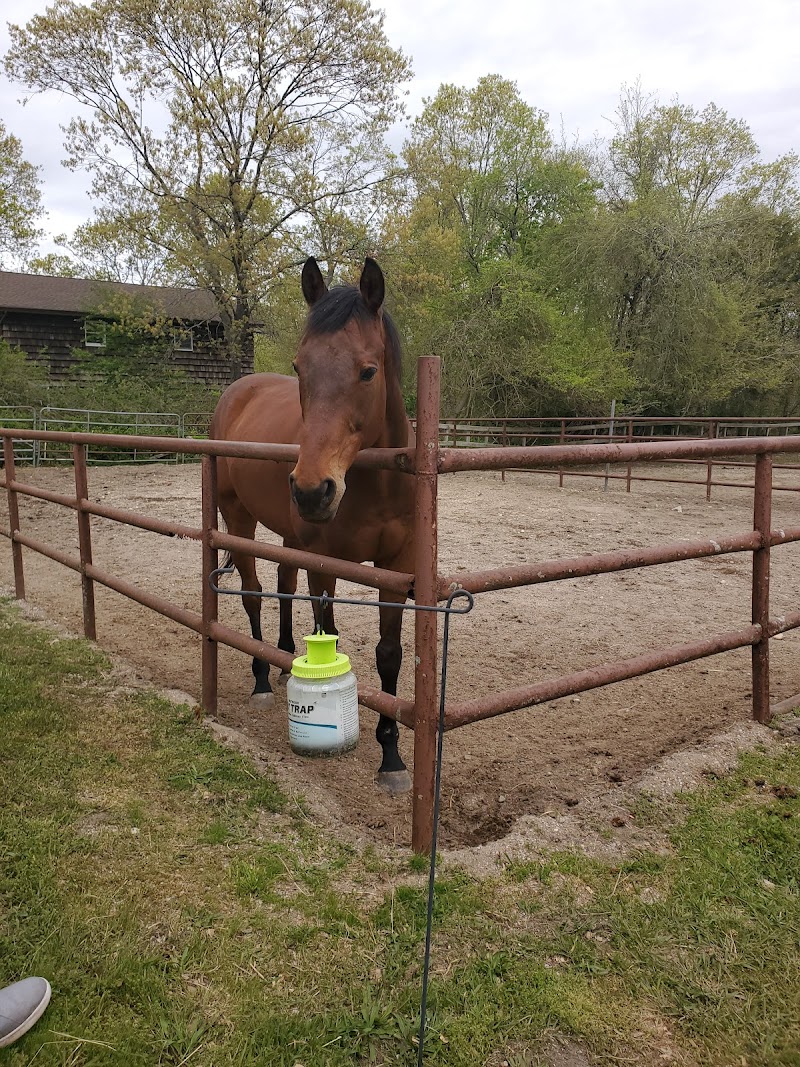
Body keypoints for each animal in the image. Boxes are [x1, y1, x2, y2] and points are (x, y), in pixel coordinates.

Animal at [209, 256, 415, 794]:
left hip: (287, 532)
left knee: (283, 584)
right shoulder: (327, 563)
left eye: (368, 371)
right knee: (255, 593)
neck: (376, 483)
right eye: (301, 367)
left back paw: (284, 661)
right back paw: (263, 677)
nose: (310, 490)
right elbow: (329, 629)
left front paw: (391, 757)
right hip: (237, 519)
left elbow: (389, 653)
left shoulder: (395, 567)